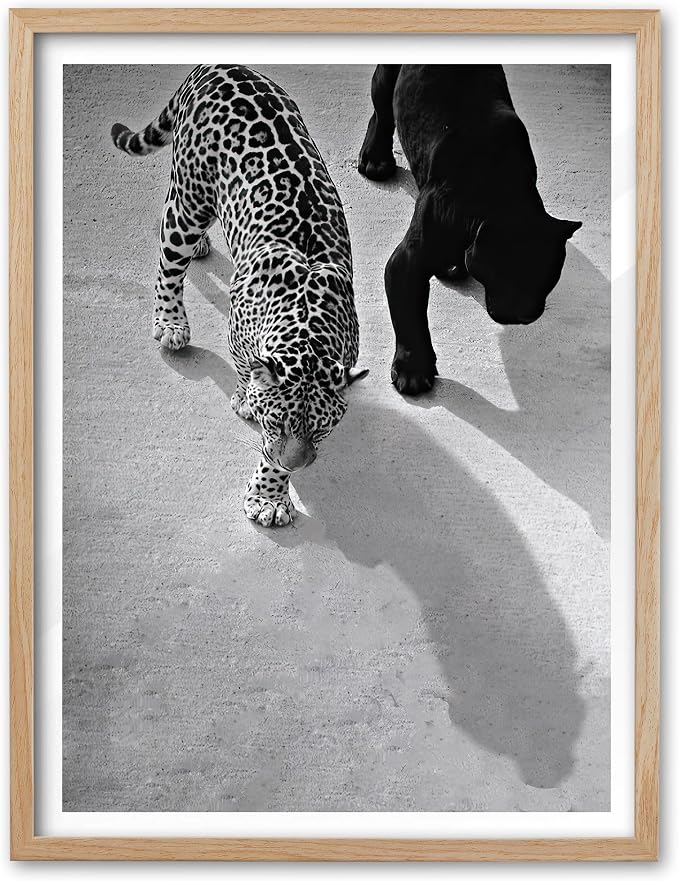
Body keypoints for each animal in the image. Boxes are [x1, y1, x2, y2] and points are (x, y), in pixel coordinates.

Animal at [111, 64, 367, 527]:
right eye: (277, 423)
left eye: (321, 429)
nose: (297, 463)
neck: (307, 323)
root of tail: (218, 67)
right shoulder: (242, 336)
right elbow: (249, 378)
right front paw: (248, 406)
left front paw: (272, 492)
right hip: (188, 200)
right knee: (168, 261)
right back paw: (170, 322)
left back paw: (200, 249)